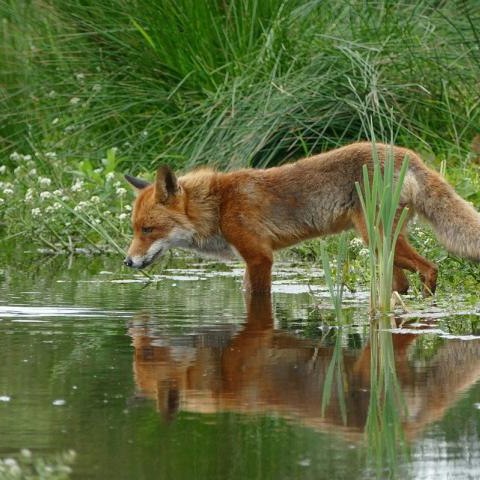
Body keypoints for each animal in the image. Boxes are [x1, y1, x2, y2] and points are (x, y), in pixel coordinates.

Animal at [124, 141, 480, 294]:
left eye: (148, 229)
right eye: (135, 229)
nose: (127, 262)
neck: (219, 206)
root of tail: (409, 155)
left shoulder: (260, 257)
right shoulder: (252, 260)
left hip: (377, 238)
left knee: (430, 268)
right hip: (383, 246)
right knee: (402, 282)